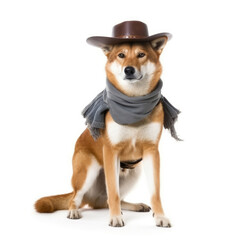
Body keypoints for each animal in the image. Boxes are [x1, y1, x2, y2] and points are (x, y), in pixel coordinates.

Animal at [34, 20, 179, 227]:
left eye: (141, 55)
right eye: (121, 55)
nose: (129, 69)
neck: (133, 103)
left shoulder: (151, 151)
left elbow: (155, 192)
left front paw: (160, 216)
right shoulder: (112, 151)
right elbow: (113, 192)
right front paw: (115, 217)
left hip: (134, 171)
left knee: (103, 201)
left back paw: (135, 206)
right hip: (87, 170)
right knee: (78, 198)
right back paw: (74, 211)